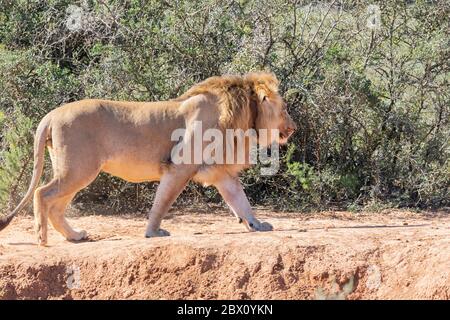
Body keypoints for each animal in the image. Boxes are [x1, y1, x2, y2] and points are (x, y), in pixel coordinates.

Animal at [0, 72, 298, 245]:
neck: (241, 117)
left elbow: (241, 201)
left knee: (57, 206)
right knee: (41, 193)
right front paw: (153, 232)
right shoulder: (179, 167)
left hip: (77, 171)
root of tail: (50, 115)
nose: (294, 127)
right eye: (284, 108)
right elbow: (163, 202)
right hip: (78, 169)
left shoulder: (221, 172)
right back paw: (42, 238)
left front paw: (257, 224)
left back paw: (75, 236)